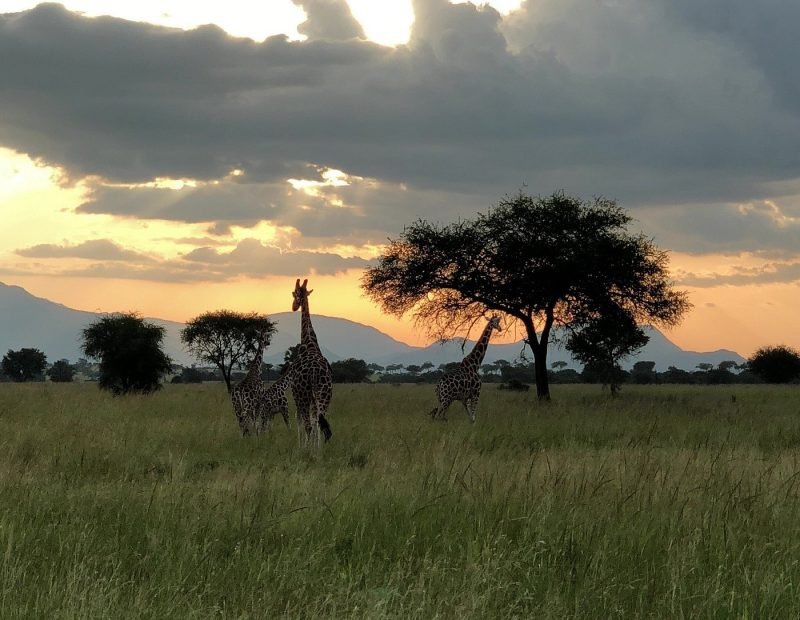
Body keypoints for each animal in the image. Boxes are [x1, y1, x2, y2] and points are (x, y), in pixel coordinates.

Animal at [290, 278, 333, 445]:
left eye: (294, 293)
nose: (294, 306)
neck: (309, 343)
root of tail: (314, 373)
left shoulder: (296, 394)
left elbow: (299, 421)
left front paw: (301, 446)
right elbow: (315, 423)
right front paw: (314, 447)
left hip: (304, 395)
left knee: (308, 424)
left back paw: (307, 449)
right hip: (324, 394)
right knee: (320, 422)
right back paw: (319, 449)